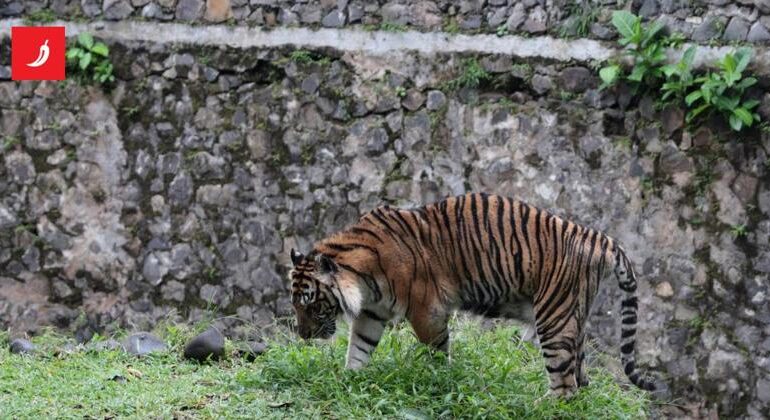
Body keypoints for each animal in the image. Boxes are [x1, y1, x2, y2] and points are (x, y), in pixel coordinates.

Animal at [288, 192, 657, 397]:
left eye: (311, 303)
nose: (303, 335)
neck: (364, 277)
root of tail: (597, 237)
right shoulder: (372, 313)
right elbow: (359, 348)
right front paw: (349, 379)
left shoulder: (426, 310)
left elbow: (436, 353)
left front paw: (438, 381)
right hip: (572, 316)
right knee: (580, 379)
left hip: (554, 317)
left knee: (564, 383)